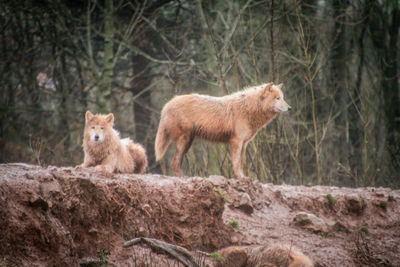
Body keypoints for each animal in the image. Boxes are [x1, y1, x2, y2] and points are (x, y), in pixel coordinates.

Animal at [154, 82, 290, 179]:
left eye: (283, 98)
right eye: (277, 98)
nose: (290, 108)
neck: (248, 109)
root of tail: (167, 105)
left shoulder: (244, 144)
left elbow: (240, 163)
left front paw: (242, 177)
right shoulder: (236, 142)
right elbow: (236, 163)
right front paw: (241, 178)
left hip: (187, 143)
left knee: (175, 164)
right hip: (184, 141)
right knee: (174, 164)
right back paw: (184, 178)